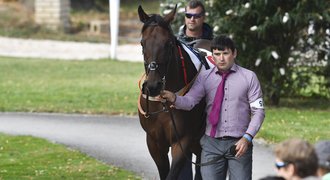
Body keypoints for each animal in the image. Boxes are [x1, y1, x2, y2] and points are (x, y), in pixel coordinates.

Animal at [138, 4, 208, 179]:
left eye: (168, 43)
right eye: (142, 43)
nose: (153, 86)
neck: (163, 103)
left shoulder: (182, 141)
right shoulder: (154, 143)